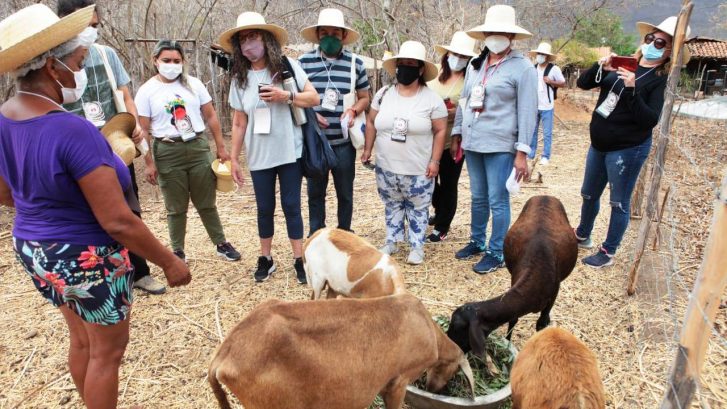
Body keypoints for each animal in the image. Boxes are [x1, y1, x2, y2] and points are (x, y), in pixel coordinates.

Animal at [446, 194, 576, 354]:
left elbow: (541, 324)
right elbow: (513, 319)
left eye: (458, 327)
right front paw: (507, 344)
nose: (449, 343)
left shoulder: (552, 297)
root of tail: (545, 196)